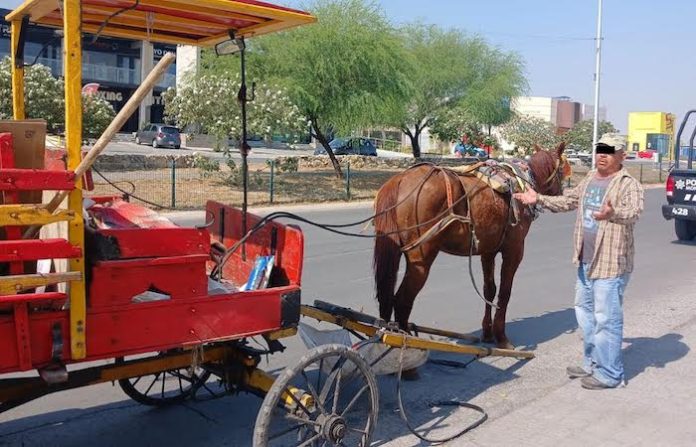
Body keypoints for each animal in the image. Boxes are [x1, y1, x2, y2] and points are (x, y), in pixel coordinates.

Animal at [373, 142, 568, 350]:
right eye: (561, 170)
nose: (560, 194)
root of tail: (400, 179)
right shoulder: (514, 250)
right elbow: (505, 292)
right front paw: (501, 336)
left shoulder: (488, 251)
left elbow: (489, 289)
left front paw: (488, 333)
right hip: (421, 261)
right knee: (402, 301)